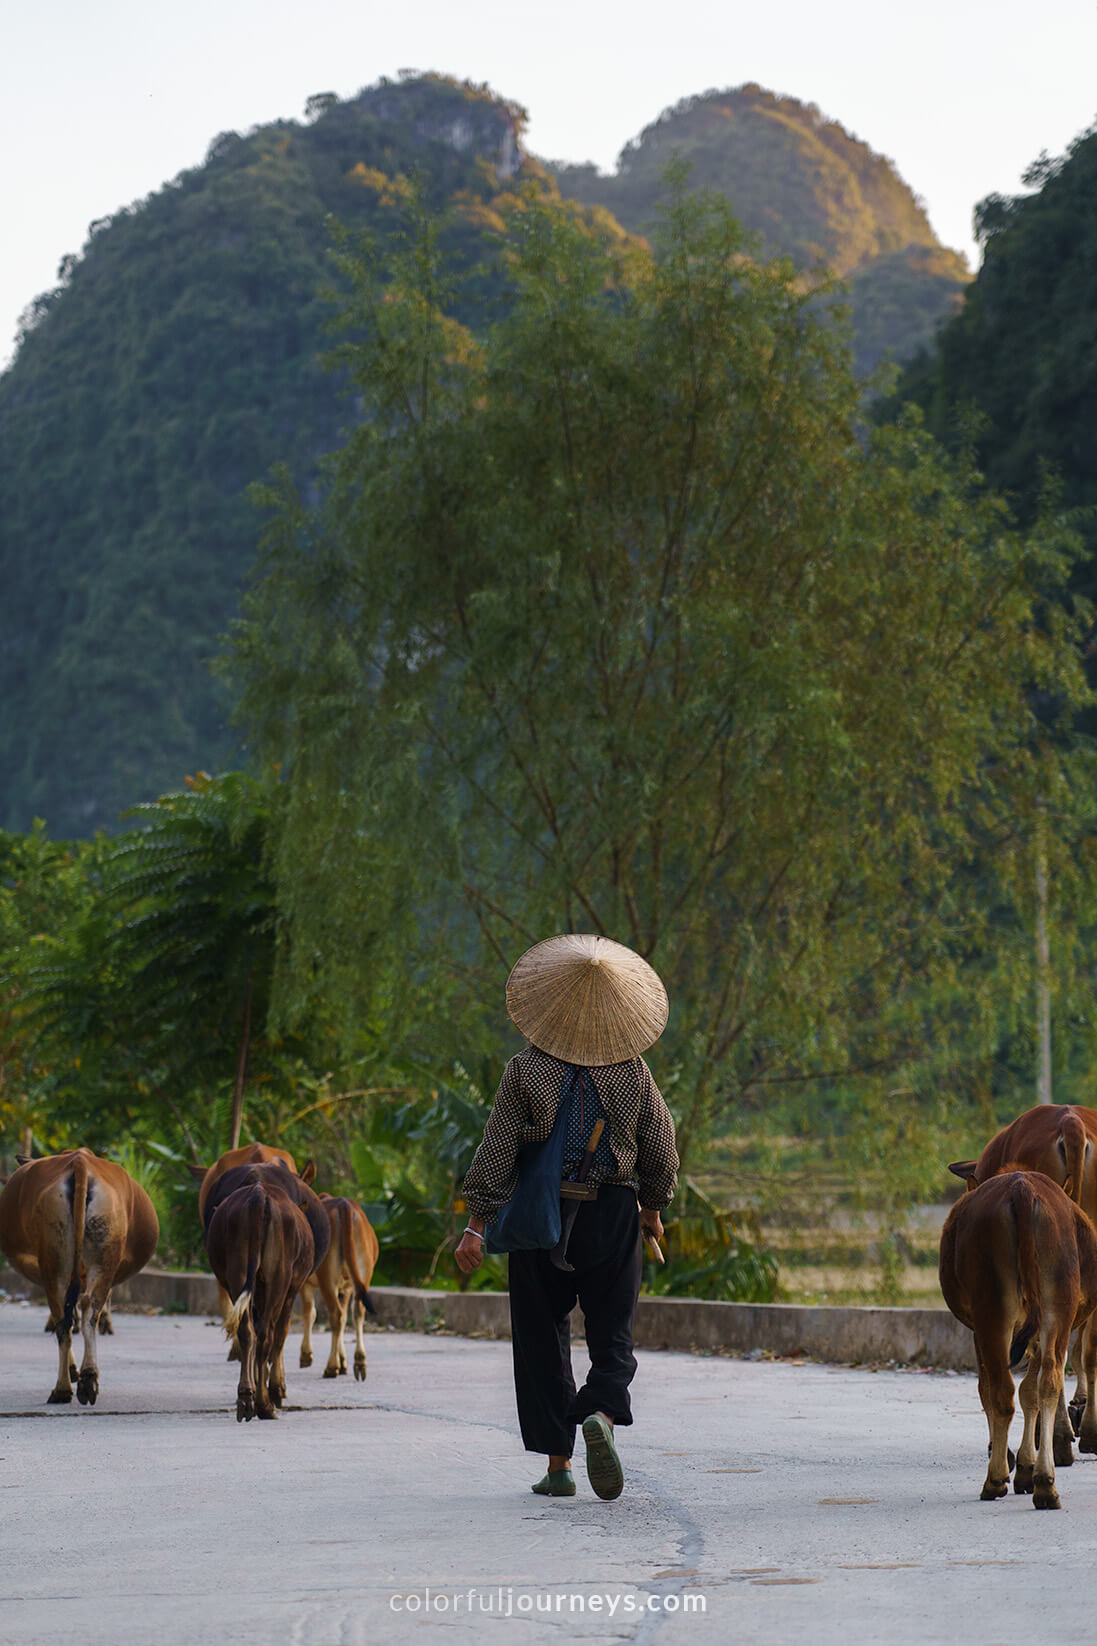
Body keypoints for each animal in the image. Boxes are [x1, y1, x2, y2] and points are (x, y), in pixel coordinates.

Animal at [0, 1152, 157, 1408]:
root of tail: (80, 1161)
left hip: (53, 1264)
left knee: (64, 1322)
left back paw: (63, 1387)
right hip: (101, 1255)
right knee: (86, 1310)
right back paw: (87, 1379)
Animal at [204, 1165, 316, 1422]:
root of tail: (258, 1195)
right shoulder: (291, 1288)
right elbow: (281, 1334)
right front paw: (275, 1390)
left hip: (237, 1273)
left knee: (247, 1331)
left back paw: (246, 1398)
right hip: (279, 1276)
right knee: (266, 1334)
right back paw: (264, 1404)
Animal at [299, 1191, 380, 1382]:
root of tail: (345, 1206)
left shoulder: (304, 1283)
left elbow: (310, 1313)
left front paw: (306, 1355)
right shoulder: (347, 1288)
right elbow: (344, 1319)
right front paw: (343, 1362)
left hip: (327, 1277)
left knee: (335, 1315)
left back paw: (331, 1367)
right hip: (363, 1273)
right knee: (357, 1312)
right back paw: (359, 1360)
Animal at [935, 1165, 1093, 1507]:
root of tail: (1022, 1188)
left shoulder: (978, 1332)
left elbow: (989, 1389)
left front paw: (1011, 1462)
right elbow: (1031, 1393)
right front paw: (1026, 1467)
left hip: (993, 1314)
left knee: (1001, 1392)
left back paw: (994, 1480)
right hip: (1057, 1307)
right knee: (1049, 1382)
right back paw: (1045, 1483)